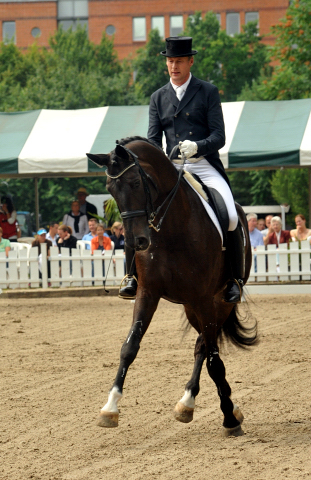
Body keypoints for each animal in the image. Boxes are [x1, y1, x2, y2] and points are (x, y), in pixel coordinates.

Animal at [86, 134, 258, 436]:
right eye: (110, 188)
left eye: (135, 183)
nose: (136, 242)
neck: (172, 229)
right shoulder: (148, 293)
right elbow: (129, 347)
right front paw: (110, 408)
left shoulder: (204, 297)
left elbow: (214, 361)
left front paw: (229, 417)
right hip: (191, 307)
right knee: (202, 345)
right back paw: (189, 403)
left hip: (218, 302)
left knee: (206, 347)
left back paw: (212, 405)